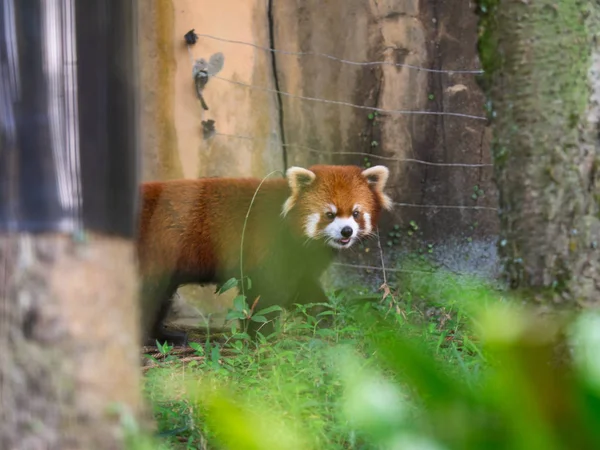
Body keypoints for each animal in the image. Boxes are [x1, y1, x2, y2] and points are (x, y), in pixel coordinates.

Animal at [137, 163, 394, 346]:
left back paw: (162, 337)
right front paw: (261, 337)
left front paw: (324, 320)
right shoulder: (266, 248)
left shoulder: (299, 263)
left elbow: (305, 291)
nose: (346, 231)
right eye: (329, 214)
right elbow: (263, 296)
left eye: (356, 213)